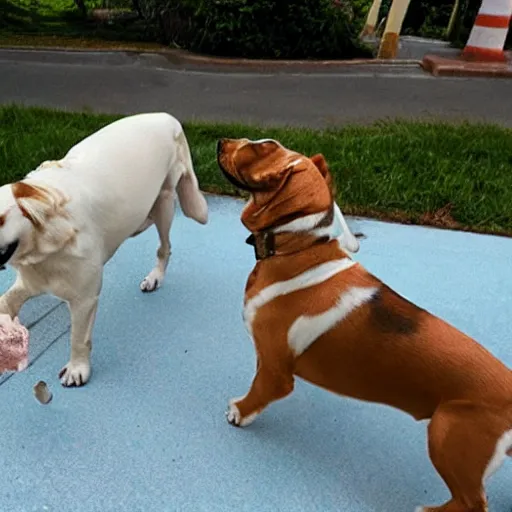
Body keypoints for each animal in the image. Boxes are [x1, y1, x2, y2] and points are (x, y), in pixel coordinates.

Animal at [0, 112, 209, 384]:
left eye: (1, 219)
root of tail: (166, 116)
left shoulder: (84, 299)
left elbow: (78, 338)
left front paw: (78, 368)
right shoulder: (29, 282)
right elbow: (6, 302)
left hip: (164, 203)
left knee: (164, 247)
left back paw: (155, 277)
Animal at [217, 136, 512, 512]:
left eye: (263, 148)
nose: (223, 140)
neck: (297, 248)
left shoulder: (276, 370)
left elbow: (257, 393)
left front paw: (239, 412)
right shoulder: (265, 356)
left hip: (447, 437)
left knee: (472, 502)